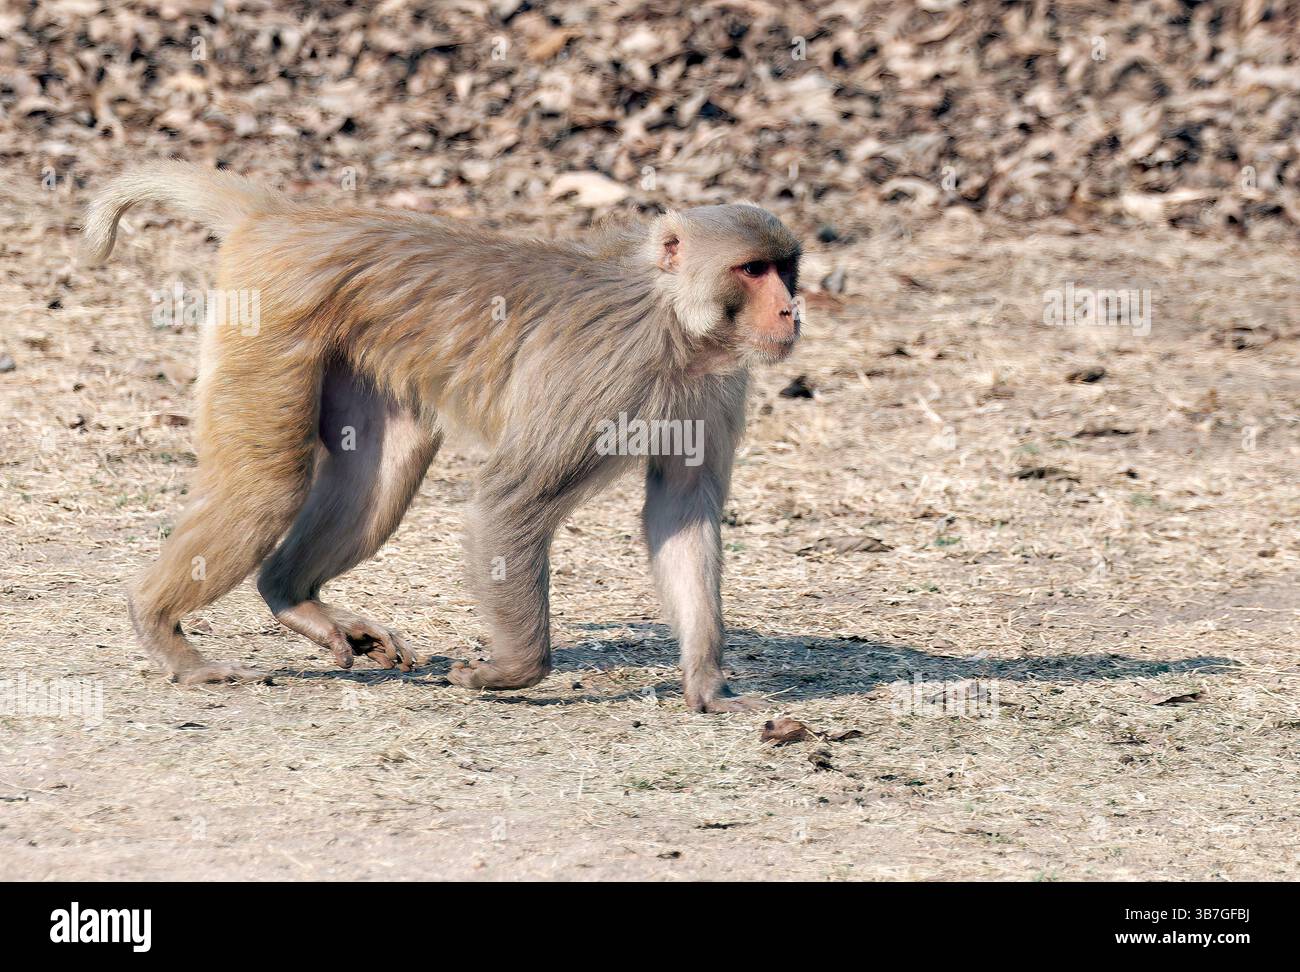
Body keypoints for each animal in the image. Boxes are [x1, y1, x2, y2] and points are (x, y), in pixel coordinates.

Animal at [82, 161, 802, 712]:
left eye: (786, 268)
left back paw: (291, 597)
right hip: (268, 319)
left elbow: (682, 513)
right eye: (752, 270)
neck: (676, 322)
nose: (793, 310)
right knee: (267, 487)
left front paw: (707, 684)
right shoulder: (607, 375)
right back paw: (160, 626)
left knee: (380, 484)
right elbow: (511, 500)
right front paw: (512, 671)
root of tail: (283, 219)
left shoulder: (715, 390)